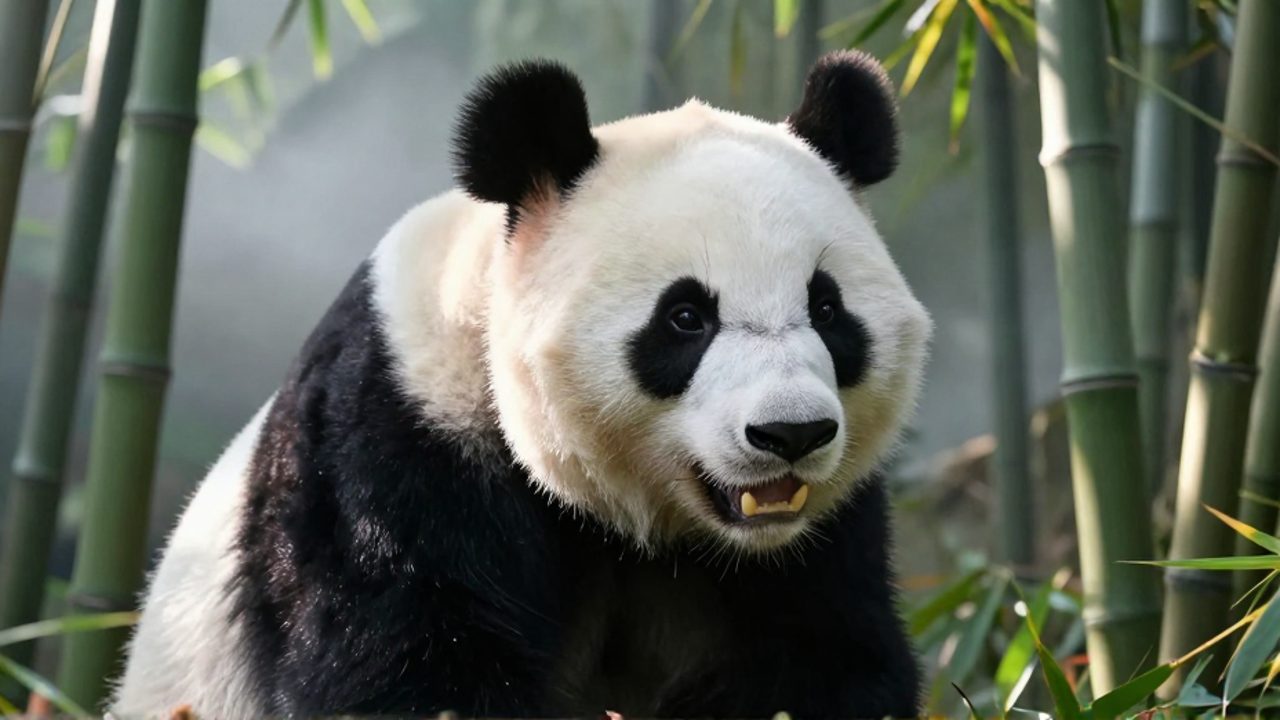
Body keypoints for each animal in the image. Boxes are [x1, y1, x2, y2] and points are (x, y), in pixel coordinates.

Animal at [113, 50, 931, 719]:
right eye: (686, 317)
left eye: (827, 309)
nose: (790, 433)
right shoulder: (396, 442)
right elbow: (402, 667)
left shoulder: (825, 538)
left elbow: (832, 660)